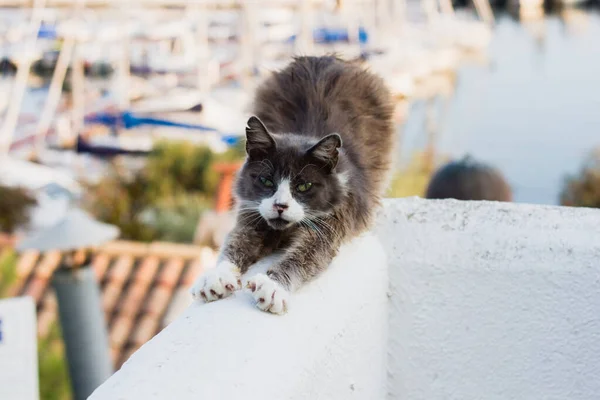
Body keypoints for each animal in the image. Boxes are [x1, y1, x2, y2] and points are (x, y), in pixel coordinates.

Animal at [191, 55, 394, 312]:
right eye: (266, 180)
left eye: (304, 186)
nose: (280, 206)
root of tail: (324, 58)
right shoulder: (252, 216)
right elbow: (235, 243)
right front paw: (218, 276)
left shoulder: (328, 228)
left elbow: (302, 258)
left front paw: (273, 286)